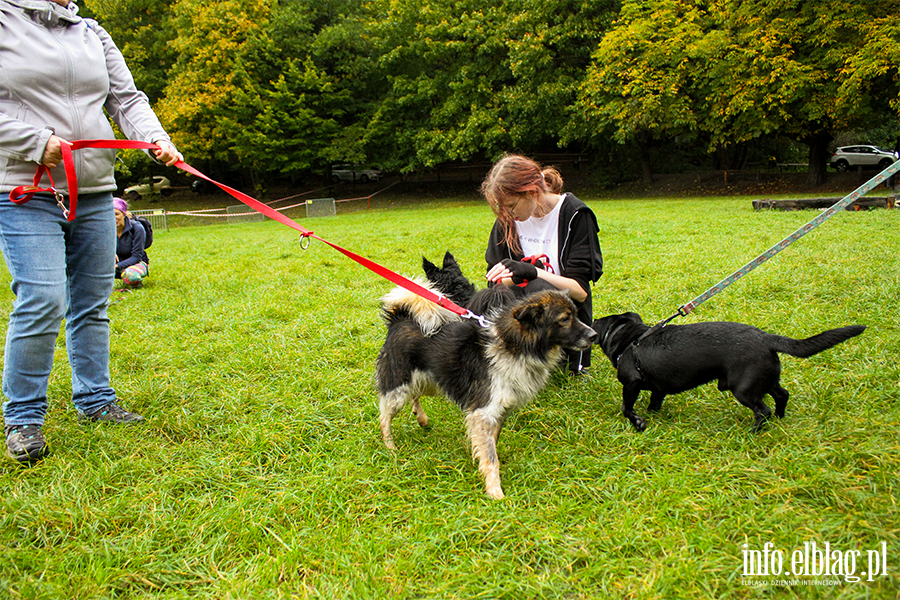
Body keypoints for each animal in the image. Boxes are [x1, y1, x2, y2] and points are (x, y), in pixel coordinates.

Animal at [374, 284, 596, 500]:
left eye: (576, 315)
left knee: (415, 395)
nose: (594, 335)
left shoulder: (499, 411)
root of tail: (399, 319)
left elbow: (491, 444)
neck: (512, 345)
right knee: (384, 417)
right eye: (565, 319)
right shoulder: (484, 411)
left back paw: (421, 418)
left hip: (430, 381)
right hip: (399, 389)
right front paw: (495, 491)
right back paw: (391, 447)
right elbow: (490, 456)